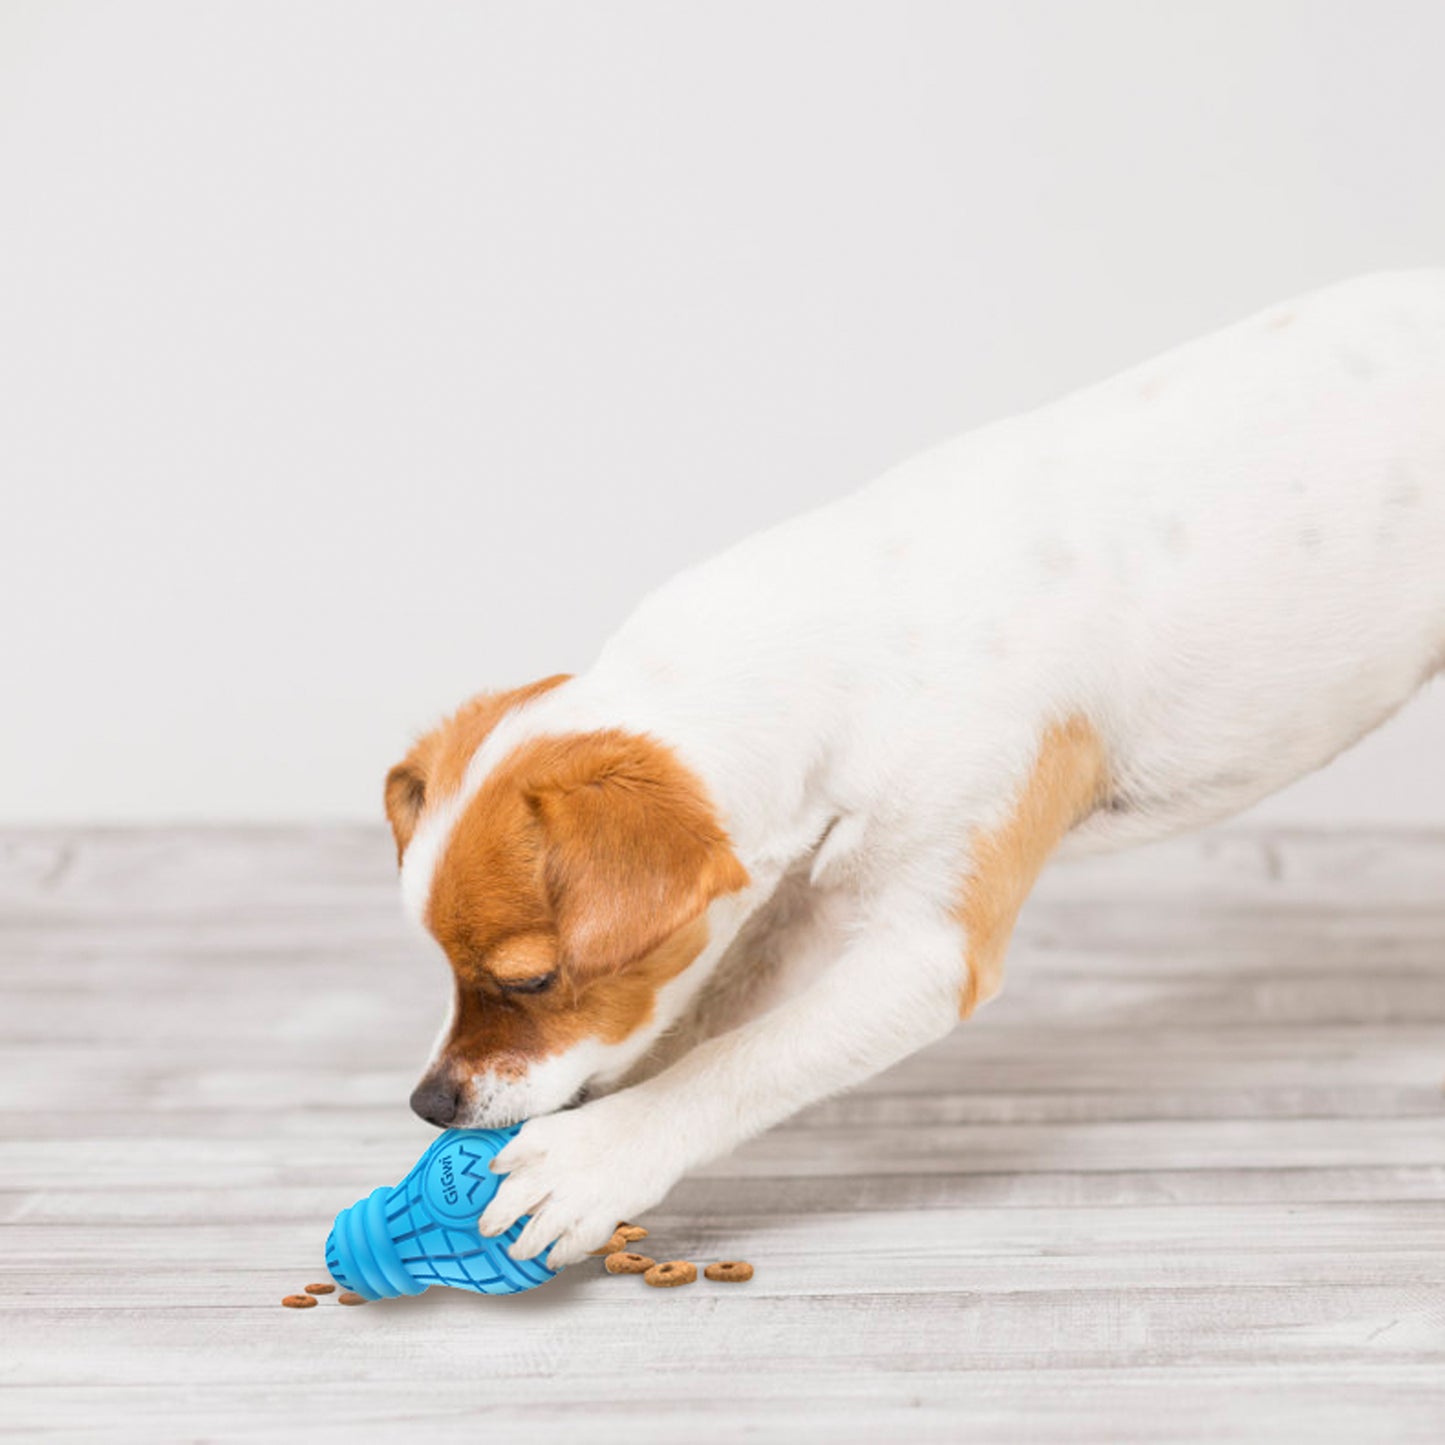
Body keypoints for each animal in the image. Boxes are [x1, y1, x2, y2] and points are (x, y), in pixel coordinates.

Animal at [384, 271, 1445, 1265]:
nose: (430, 1104)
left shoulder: (926, 947)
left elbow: (747, 1058)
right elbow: (702, 1019)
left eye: (529, 979)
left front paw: (601, 1154)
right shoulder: (799, 894)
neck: (846, 637)